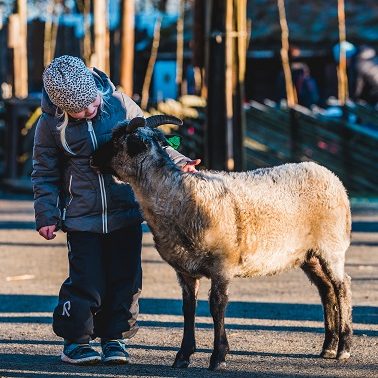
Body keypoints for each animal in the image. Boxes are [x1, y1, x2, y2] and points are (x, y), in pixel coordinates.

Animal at [91, 115, 352, 370]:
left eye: (117, 142)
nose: (92, 158)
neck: (178, 194)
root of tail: (329, 175)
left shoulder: (222, 264)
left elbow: (217, 306)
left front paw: (218, 356)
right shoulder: (185, 270)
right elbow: (188, 308)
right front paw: (183, 355)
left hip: (332, 246)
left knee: (342, 286)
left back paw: (344, 348)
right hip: (308, 254)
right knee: (326, 289)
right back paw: (329, 346)